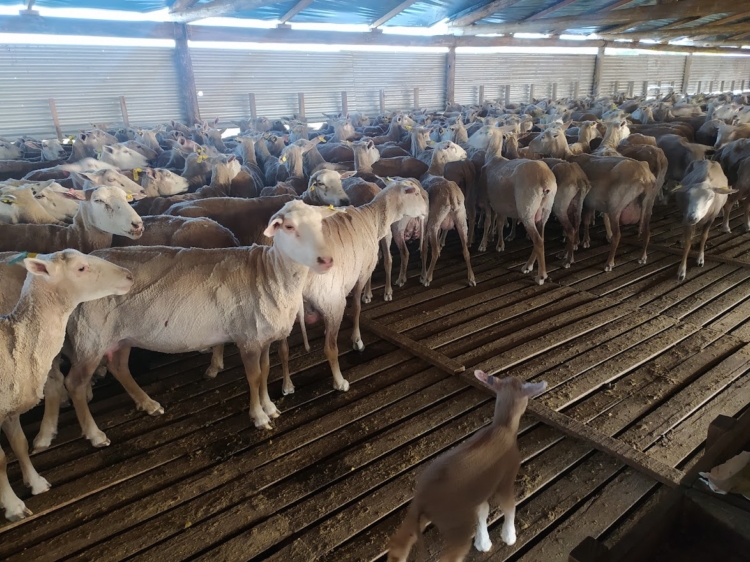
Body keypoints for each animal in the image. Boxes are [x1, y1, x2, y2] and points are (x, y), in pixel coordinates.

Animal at [0, 249, 133, 521]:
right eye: (81, 268)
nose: (129, 276)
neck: (14, 341)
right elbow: (0, 460)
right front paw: (13, 506)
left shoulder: (11, 406)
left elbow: (19, 443)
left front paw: (36, 483)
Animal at [61, 201, 334, 445]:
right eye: (288, 226)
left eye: (320, 224)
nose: (326, 260)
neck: (270, 273)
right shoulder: (247, 337)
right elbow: (254, 377)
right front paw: (258, 417)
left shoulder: (263, 336)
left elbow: (266, 370)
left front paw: (269, 407)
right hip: (90, 338)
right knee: (74, 384)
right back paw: (96, 435)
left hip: (120, 334)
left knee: (119, 366)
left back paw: (148, 404)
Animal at [386, 372, 547, 561]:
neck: (503, 426)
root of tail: (424, 501)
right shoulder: (506, 478)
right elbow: (509, 506)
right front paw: (509, 536)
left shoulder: (477, 493)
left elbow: (483, 511)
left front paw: (483, 542)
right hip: (456, 525)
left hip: (414, 515)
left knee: (399, 545)